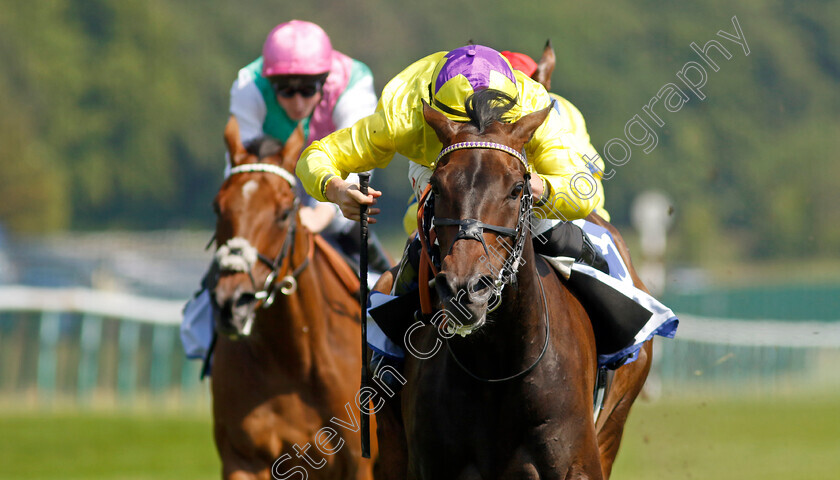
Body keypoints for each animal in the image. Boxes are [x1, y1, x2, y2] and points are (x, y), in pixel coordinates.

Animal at [210, 117, 378, 480]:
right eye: (217, 207)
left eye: (284, 213)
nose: (232, 304)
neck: (291, 359)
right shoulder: (242, 460)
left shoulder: (360, 463)